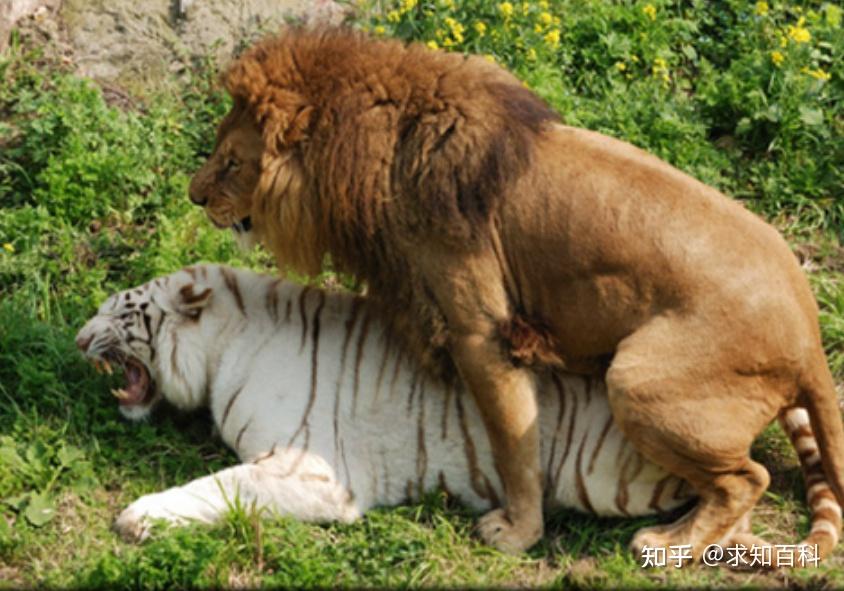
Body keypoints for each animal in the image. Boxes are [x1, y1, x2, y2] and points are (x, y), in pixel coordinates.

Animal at [77, 264, 836, 564]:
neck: (224, 344)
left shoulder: (310, 472)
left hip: (625, 452)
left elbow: (220, 487)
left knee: (747, 478)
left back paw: (674, 542)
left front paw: (138, 516)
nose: (80, 340)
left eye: (120, 309)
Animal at [190, 27, 844, 556]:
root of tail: (809, 334)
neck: (378, 153)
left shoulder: (482, 330)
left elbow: (513, 444)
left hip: (636, 380)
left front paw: (517, 532)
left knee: (747, 478)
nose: (196, 197)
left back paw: (668, 543)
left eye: (231, 163)